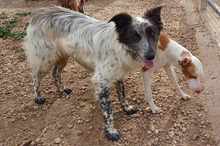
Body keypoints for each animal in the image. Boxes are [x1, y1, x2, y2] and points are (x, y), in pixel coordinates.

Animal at [24, 6, 162, 141]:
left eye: (152, 33)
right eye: (135, 36)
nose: (151, 56)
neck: (121, 47)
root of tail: (39, 11)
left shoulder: (119, 74)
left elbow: (122, 94)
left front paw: (126, 107)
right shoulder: (100, 81)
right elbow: (108, 111)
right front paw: (111, 131)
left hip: (63, 56)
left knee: (55, 72)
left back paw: (62, 89)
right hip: (45, 59)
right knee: (35, 76)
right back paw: (38, 96)